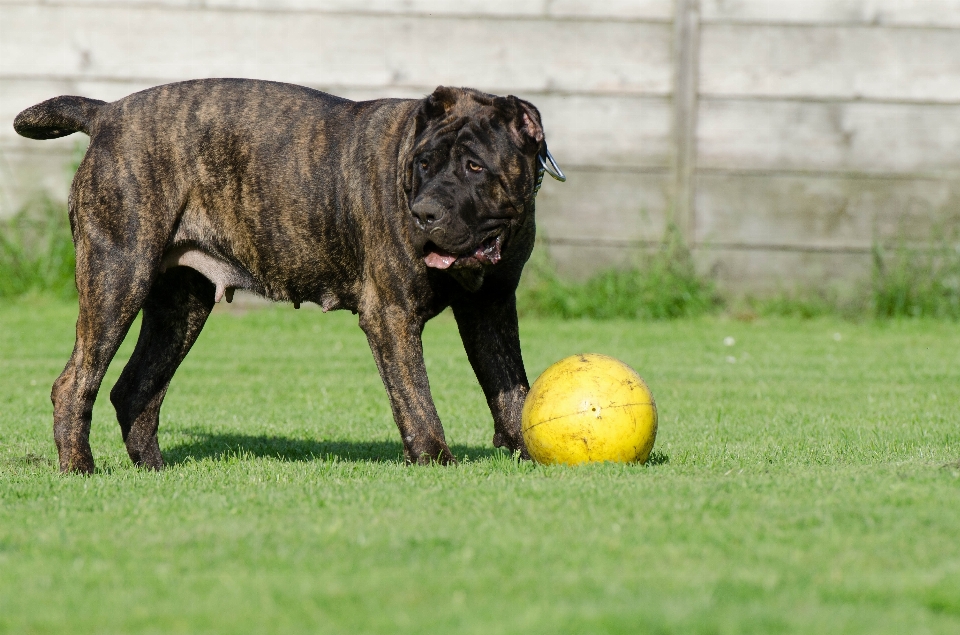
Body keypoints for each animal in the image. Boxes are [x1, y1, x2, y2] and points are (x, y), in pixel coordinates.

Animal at [11, 79, 564, 472]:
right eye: (423, 163)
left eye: (474, 166)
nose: (424, 212)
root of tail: (106, 113)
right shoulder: (391, 314)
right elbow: (416, 397)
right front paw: (435, 461)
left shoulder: (491, 308)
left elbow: (510, 387)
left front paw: (528, 450)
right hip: (117, 277)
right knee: (75, 382)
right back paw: (80, 469)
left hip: (179, 307)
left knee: (135, 387)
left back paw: (153, 469)